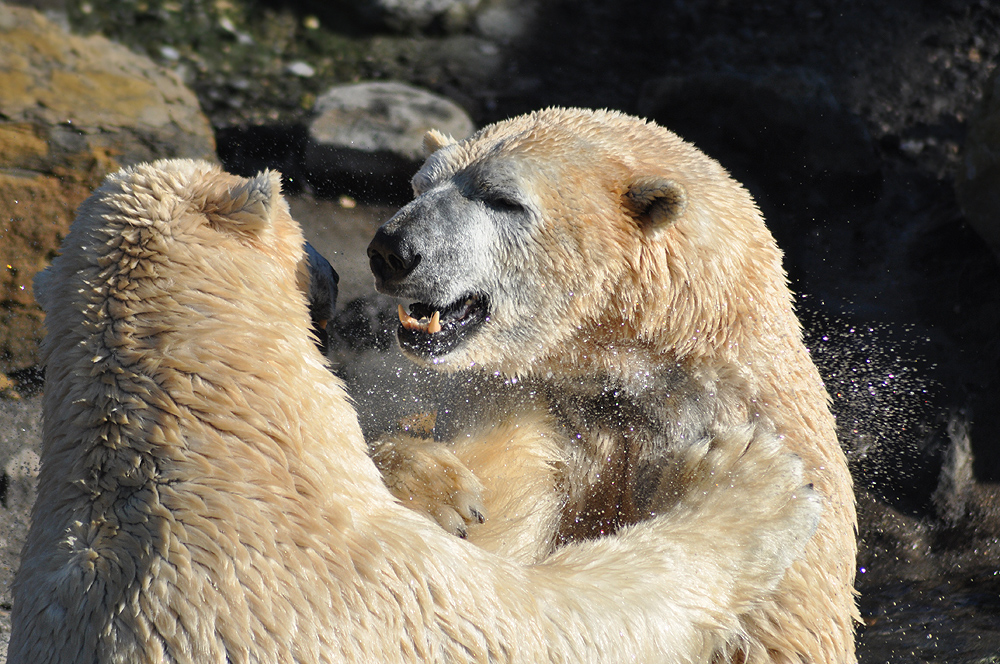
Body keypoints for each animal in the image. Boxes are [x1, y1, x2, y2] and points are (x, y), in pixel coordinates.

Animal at [9, 158, 820, 660]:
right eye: (303, 231)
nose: (337, 267)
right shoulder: (392, 599)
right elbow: (571, 618)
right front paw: (749, 478)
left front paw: (440, 481)